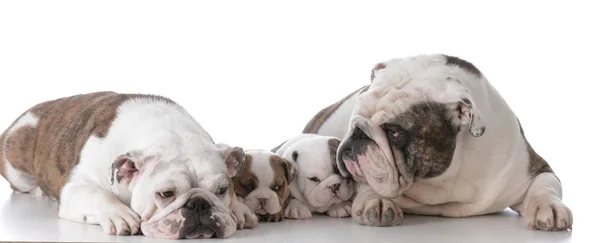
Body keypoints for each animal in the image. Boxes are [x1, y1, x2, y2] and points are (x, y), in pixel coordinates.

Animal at [0, 91, 256, 239]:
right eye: (166, 194)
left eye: (222, 190)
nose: (199, 204)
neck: (170, 134)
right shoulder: (75, 187)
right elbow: (97, 193)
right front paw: (119, 215)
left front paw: (240, 209)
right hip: (17, 164)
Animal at [302, 54, 576, 232]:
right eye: (355, 117)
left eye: (394, 132)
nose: (358, 135)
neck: (440, 180)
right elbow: (366, 184)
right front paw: (376, 201)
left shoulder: (532, 168)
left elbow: (545, 186)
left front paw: (549, 208)